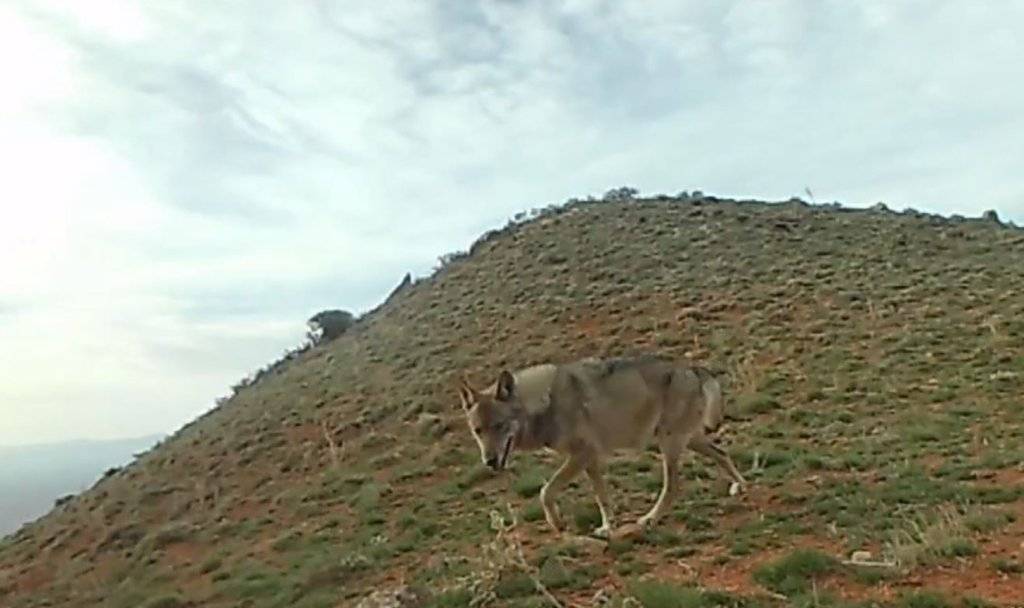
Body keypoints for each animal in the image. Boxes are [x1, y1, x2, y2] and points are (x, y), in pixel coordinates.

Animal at [460, 352, 749, 536]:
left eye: (499, 426)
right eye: (478, 431)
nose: (489, 461)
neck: (545, 403)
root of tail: (693, 368)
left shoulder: (581, 454)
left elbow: (546, 492)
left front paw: (557, 524)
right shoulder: (589, 458)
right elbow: (602, 497)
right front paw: (607, 527)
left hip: (670, 445)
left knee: (673, 487)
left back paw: (650, 519)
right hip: (687, 441)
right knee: (722, 453)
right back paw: (741, 486)